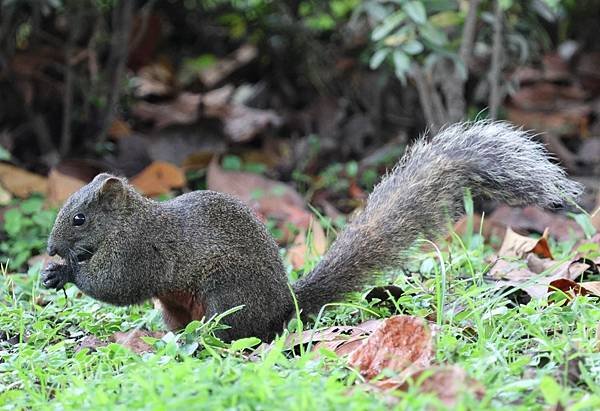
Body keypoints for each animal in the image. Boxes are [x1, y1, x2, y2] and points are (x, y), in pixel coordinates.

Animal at [41, 122, 580, 342]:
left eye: (79, 218)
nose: (51, 248)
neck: (128, 221)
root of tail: (285, 307)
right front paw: (51, 272)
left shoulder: (143, 251)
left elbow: (119, 285)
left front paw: (67, 272)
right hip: (179, 309)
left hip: (224, 297)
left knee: (234, 334)